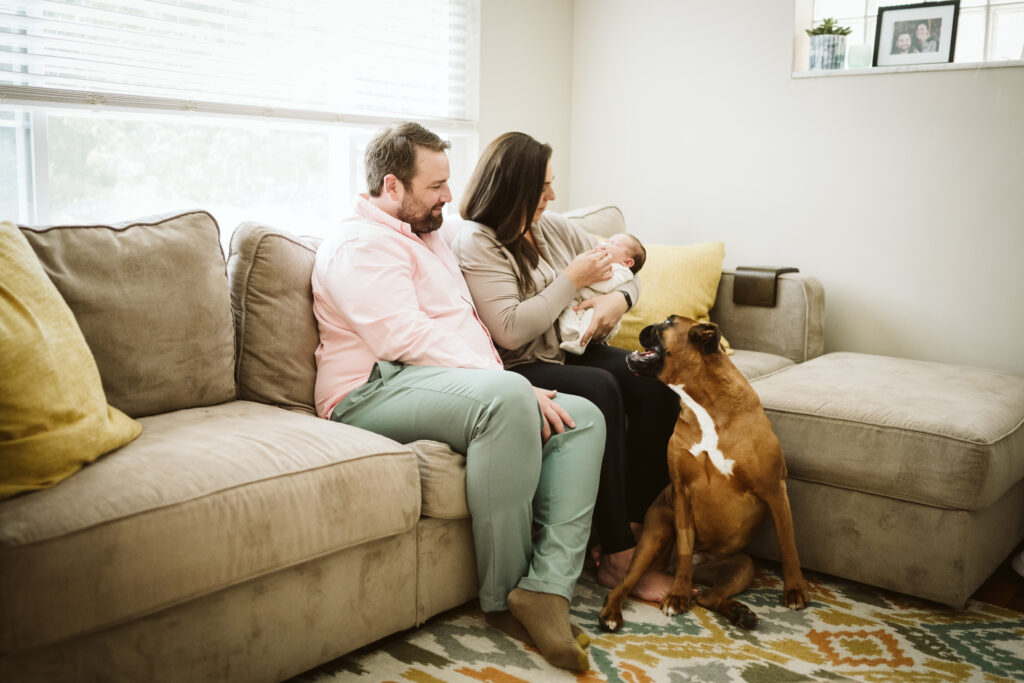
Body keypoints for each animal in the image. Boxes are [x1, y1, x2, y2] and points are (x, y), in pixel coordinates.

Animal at [598, 317, 806, 634]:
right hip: (654, 537)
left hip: (742, 566)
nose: (646, 325)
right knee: (624, 584)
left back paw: (740, 613)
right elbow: (685, 548)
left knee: (708, 597)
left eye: (668, 322)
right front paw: (678, 595)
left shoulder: (774, 489)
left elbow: (788, 544)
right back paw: (613, 613)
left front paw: (794, 589)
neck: (704, 406)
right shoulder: (682, 493)